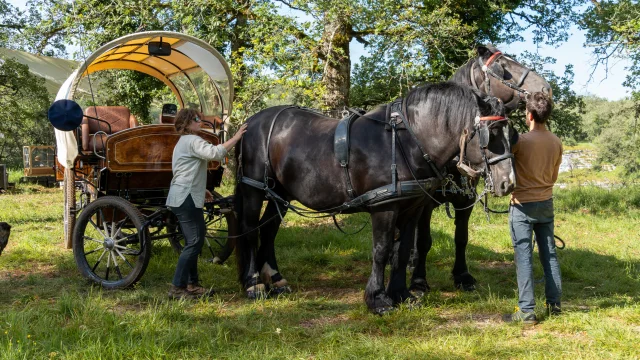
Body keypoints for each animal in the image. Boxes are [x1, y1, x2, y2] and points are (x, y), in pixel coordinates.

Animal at [232, 83, 516, 314]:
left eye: (511, 134)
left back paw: (275, 279)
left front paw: (401, 294)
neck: (407, 141)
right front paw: (378, 299)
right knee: (250, 230)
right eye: (490, 134)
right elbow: (382, 250)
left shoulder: (413, 207)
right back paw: (254, 284)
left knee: (269, 229)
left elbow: (403, 250)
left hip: (280, 193)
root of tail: (251, 122)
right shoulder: (385, 208)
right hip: (254, 189)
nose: (508, 182)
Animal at [408, 45, 552, 294]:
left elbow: (461, 237)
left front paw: (462, 275)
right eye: (503, 67)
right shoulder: (425, 202)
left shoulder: (466, 200)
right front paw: (418, 281)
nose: (545, 88)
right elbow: (424, 240)